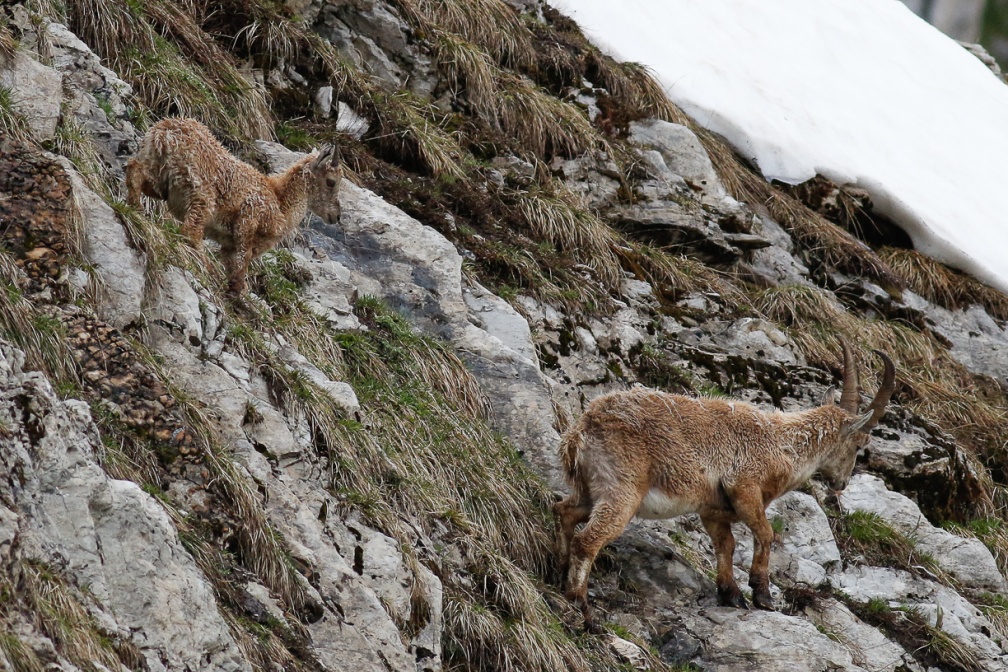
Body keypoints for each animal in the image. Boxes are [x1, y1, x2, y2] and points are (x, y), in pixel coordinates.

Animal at [126, 117, 343, 294]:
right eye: (331, 181)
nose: (336, 216)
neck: (280, 203)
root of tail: (164, 132)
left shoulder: (229, 243)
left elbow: (233, 263)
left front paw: (234, 288)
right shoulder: (249, 219)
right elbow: (243, 259)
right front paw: (239, 290)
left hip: (159, 177)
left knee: (135, 170)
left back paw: (136, 208)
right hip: (201, 193)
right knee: (190, 231)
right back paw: (210, 269)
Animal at [554, 344, 895, 627]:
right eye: (859, 445)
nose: (842, 483)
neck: (782, 444)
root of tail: (582, 429)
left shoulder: (713, 510)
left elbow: (726, 545)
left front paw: (731, 594)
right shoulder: (744, 486)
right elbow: (765, 533)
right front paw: (762, 594)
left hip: (590, 490)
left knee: (565, 511)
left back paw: (561, 571)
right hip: (622, 490)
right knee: (588, 540)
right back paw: (581, 606)